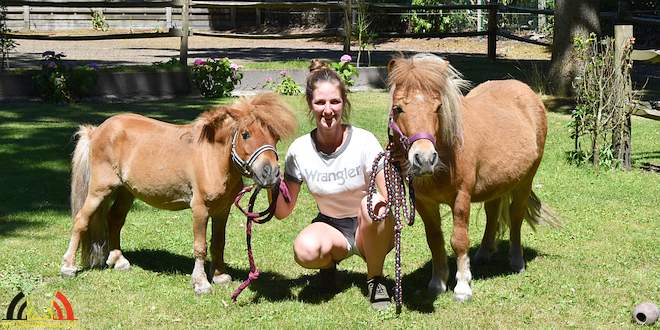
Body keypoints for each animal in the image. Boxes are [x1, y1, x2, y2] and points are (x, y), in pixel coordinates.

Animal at [60, 92, 298, 294]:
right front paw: (201, 283)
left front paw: (219, 276)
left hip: (126, 192)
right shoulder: (200, 209)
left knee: (114, 220)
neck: (212, 157)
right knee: (81, 220)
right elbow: (201, 246)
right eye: (246, 134)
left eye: (275, 137)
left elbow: (218, 242)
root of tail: (96, 131)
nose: (271, 174)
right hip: (100, 190)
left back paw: (119, 261)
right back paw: (68, 267)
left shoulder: (222, 210)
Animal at [386, 53, 556, 302]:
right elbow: (434, 240)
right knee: (492, 212)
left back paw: (517, 261)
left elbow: (459, 240)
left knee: (516, 216)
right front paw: (438, 282)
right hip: (497, 182)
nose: (425, 159)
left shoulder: (461, 198)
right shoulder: (425, 203)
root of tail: (527, 91)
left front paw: (462, 286)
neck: (447, 152)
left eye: (438, 107)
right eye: (398, 108)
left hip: (525, 181)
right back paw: (484, 253)